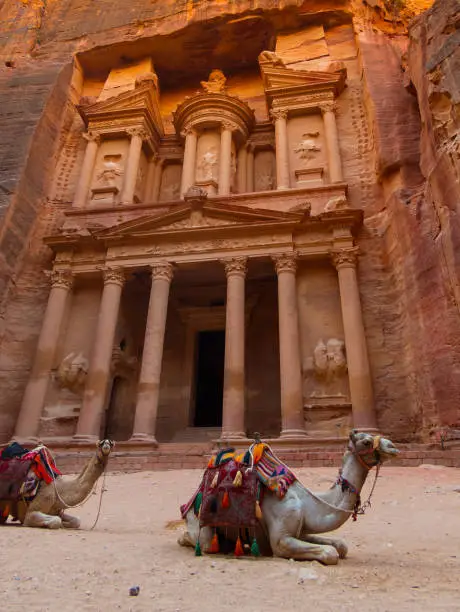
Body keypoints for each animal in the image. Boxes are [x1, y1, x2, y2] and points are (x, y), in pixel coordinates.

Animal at [179, 430, 398, 564]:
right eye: (366, 441)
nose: (393, 446)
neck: (308, 503)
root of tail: (189, 503)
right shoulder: (281, 539)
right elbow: (330, 553)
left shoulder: (301, 530)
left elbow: (341, 546)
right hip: (200, 526)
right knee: (198, 541)